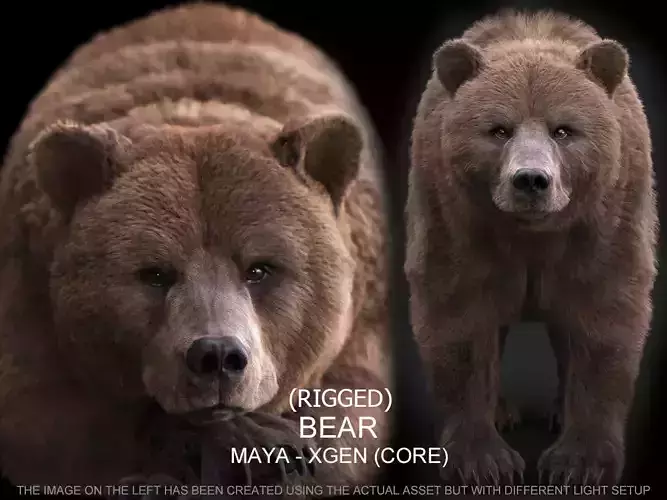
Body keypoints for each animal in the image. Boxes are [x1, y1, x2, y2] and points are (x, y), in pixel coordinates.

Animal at [0, 1, 391, 491]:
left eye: (260, 268)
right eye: (154, 273)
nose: (217, 356)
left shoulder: (362, 326)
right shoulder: (31, 304)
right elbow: (45, 421)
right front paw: (255, 441)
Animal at [405, 9, 657, 486]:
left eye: (564, 130)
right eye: (498, 129)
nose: (531, 180)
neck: (533, 233)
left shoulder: (606, 220)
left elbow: (604, 315)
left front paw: (578, 461)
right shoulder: (456, 218)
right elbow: (460, 317)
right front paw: (484, 461)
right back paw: (502, 411)